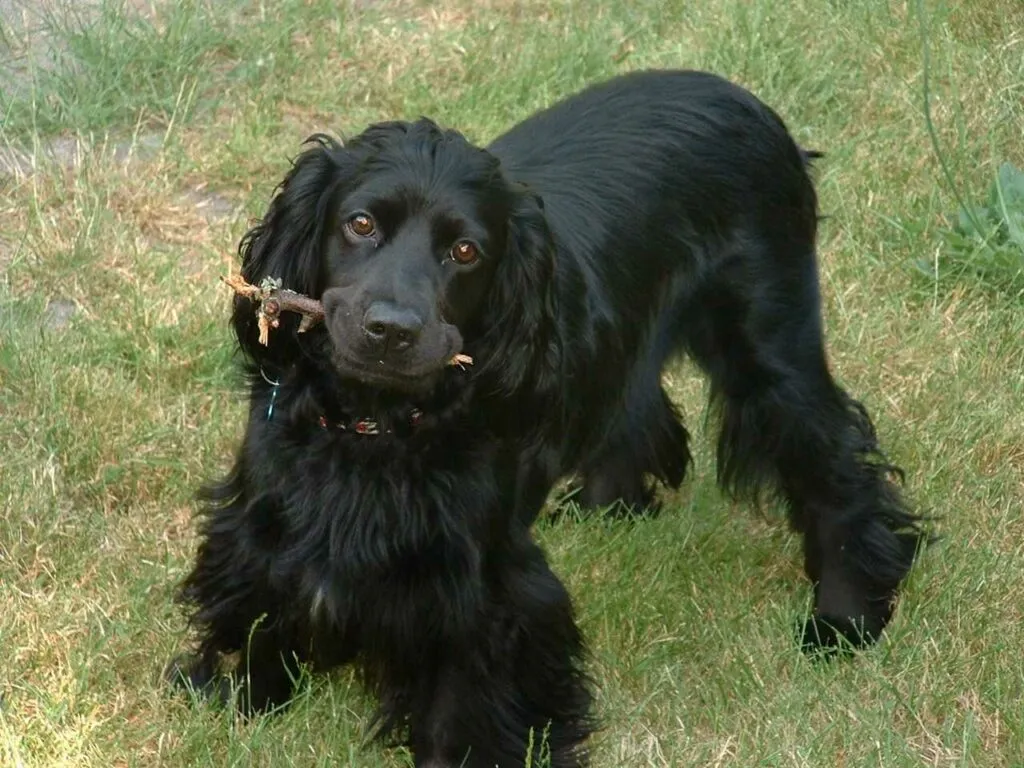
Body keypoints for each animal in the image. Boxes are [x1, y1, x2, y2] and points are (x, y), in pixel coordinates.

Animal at [172, 69, 925, 765]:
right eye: (360, 223)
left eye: (466, 251)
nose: (391, 330)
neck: (376, 432)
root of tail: (750, 104)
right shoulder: (265, 533)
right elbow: (259, 620)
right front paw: (240, 699)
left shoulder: (485, 592)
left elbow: (467, 703)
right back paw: (609, 507)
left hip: (769, 347)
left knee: (836, 466)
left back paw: (845, 617)